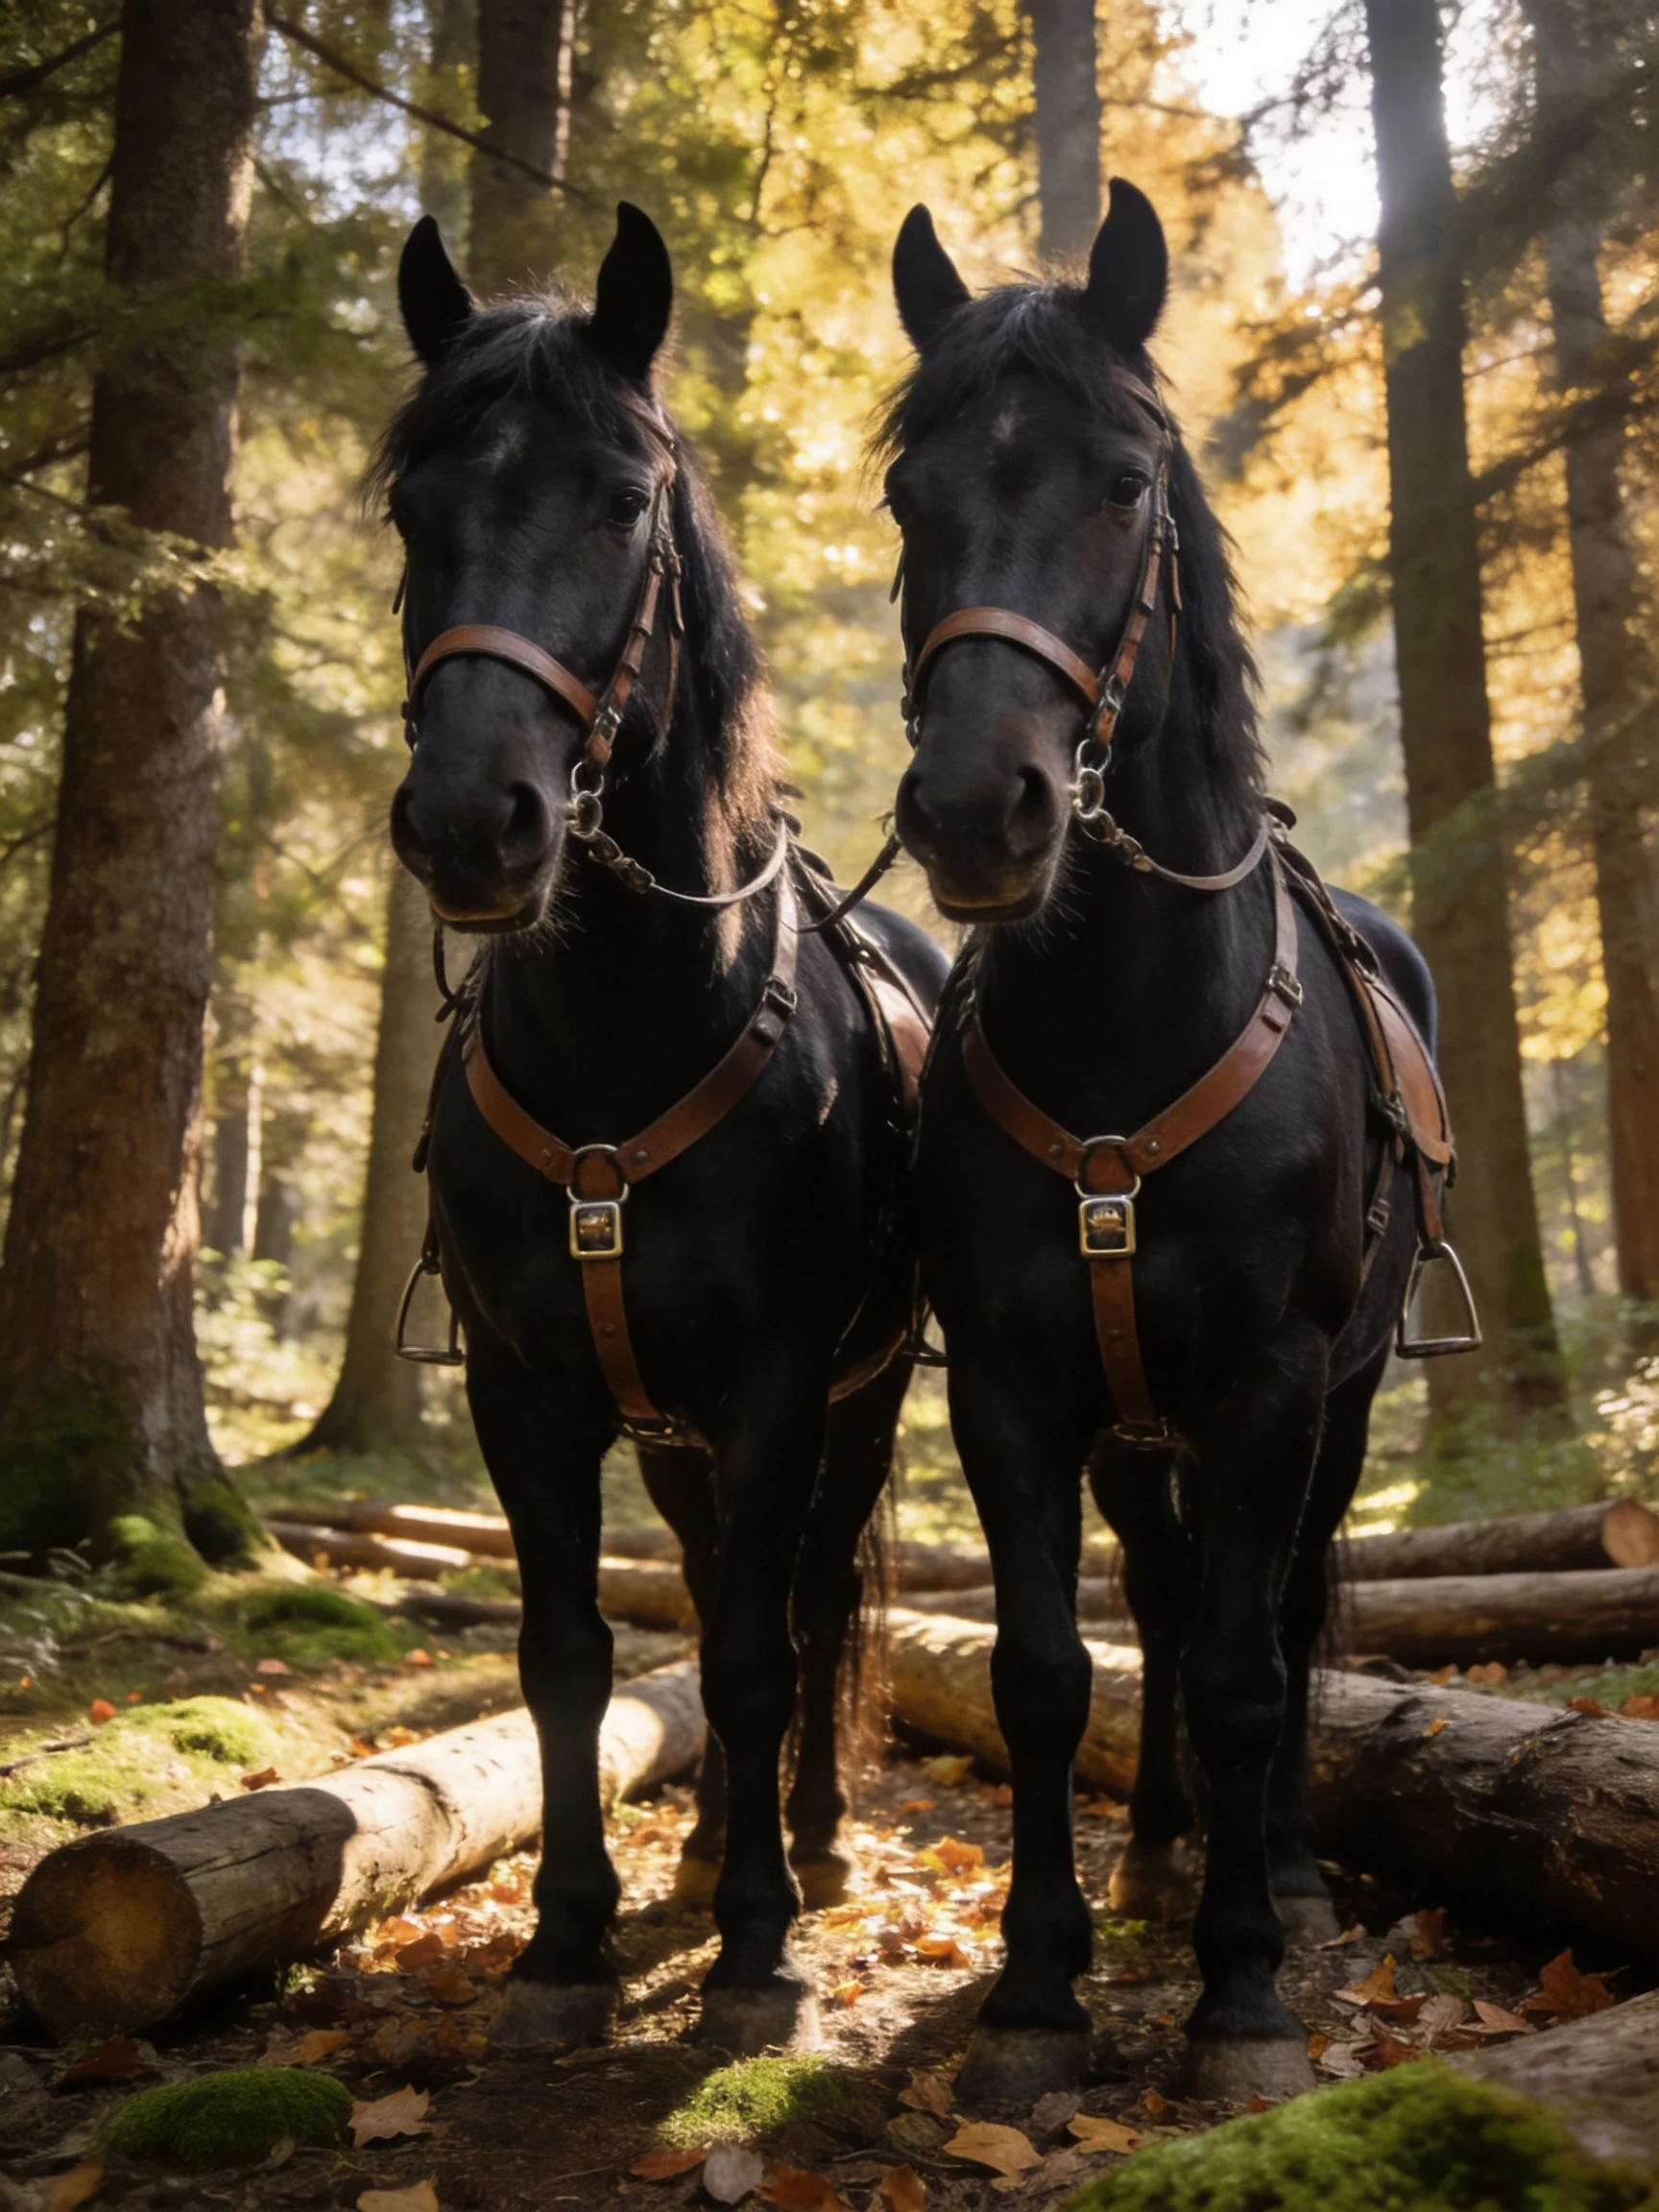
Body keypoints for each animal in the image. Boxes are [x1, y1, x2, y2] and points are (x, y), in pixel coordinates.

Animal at [382, 202, 946, 2055]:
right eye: (410, 504)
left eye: (622, 498)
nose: (469, 819)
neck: (629, 1042)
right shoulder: (529, 1389)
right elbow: (568, 1654)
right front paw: (566, 1940)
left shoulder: (779, 1383)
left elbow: (767, 1649)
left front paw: (760, 1949)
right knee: (708, 1586)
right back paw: (707, 1848)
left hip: (850, 1409)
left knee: (809, 1596)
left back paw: (805, 1850)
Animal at [880, 179, 1468, 2103]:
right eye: (909, 494)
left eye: (1124, 480)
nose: (977, 806)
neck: (1128, 1030)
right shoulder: (1014, 1387)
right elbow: (1049, 1669)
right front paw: (1037, 1991)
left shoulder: (1275, 1386)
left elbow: (1236, 1669)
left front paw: (1243, 1991)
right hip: (1136, 1430)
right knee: (1153, 1592)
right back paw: (1153, 1854)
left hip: (1335, 1410)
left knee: (1266, 1621)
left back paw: (1272, 1864)